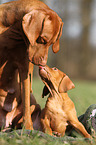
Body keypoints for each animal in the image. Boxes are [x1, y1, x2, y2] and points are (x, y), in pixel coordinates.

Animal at [0, 0, 63, 129]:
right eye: (42, 40)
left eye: (52, 43)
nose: (43, 63)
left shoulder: (24, 69)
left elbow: (26, 102)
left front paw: (28, 128)